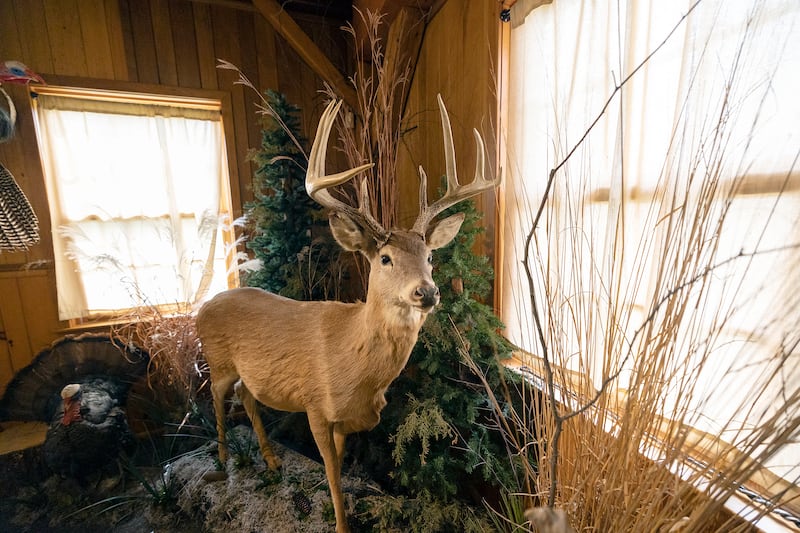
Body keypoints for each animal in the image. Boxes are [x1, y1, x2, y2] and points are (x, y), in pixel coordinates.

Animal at [195, 94, 499, 533]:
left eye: (429, 256)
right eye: (385, 258)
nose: (427, 291)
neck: (354, 362)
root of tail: (206, 305)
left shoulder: (345, 420)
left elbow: (338, 465)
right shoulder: (315, 406)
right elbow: (332, 473)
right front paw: (340, 523)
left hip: (247, 372)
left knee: (247, 397)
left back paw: (271, 461)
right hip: (216, 359)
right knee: (217, 399)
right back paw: (220, 462)